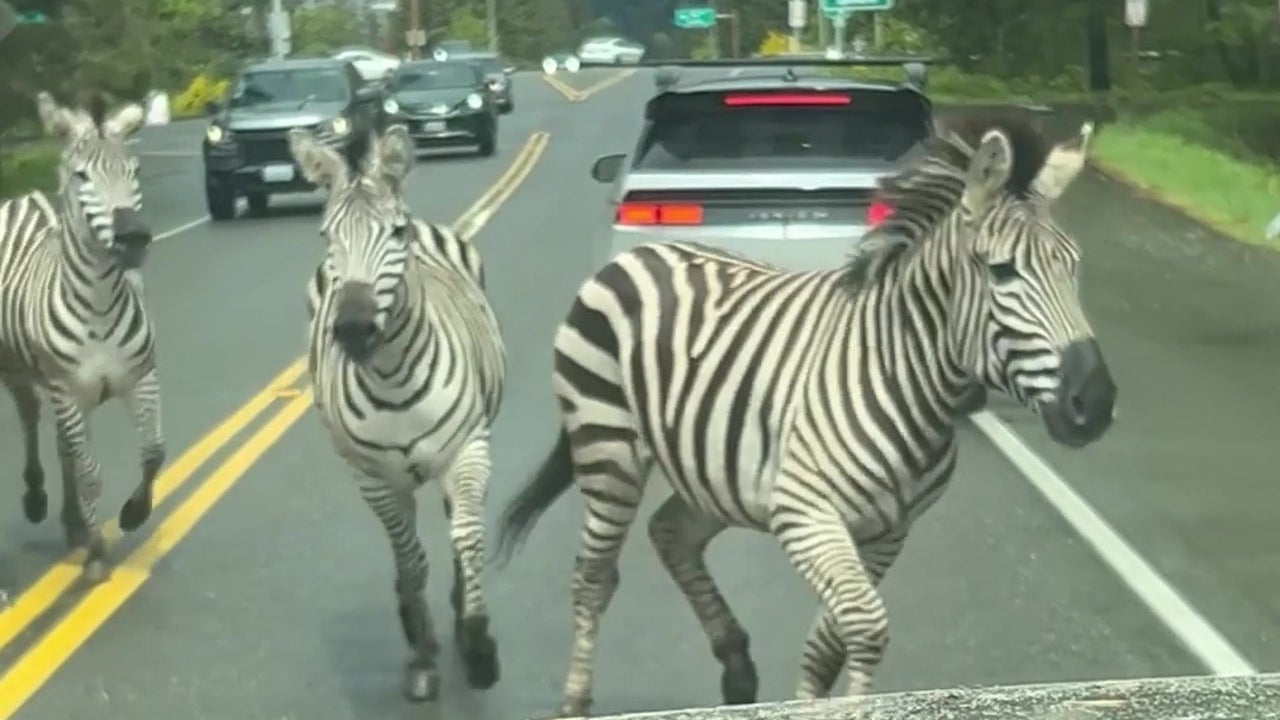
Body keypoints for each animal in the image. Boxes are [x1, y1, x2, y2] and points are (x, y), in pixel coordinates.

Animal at [0, 91, 163, 584]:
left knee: (64, 446)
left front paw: (133, 513)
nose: (133, 238)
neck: (100, 306)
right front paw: (95, 554)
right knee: (31, 420)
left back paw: (72, 522)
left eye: (134, 170)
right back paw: (37, 500)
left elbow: (154, 453)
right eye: (81, 176)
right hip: (23, 375)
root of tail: (22, 198)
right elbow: (90, 473)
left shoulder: (142, 378)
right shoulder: (67, 389)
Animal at [287, 123, 506, 703]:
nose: (353, 330)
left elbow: (468, 537)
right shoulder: (373, 477)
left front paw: (478, 644)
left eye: (395, 234)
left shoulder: (468, 451)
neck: (394, 379)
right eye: (327, 236)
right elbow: (410, 559)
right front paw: (423, 654)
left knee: (458, 525)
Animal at [493, 113, 1116, 717]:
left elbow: (828, 645)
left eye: (1074, 267)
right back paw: (576, 698)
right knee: (594, 576)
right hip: (607, 443)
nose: (1096, 403)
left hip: (714, 470)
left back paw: (737, 668)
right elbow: (866, 628)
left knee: (670, 533)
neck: (903, 378)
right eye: (1002, 272)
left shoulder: (889, 531)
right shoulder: (806, 514)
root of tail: (638, 254)